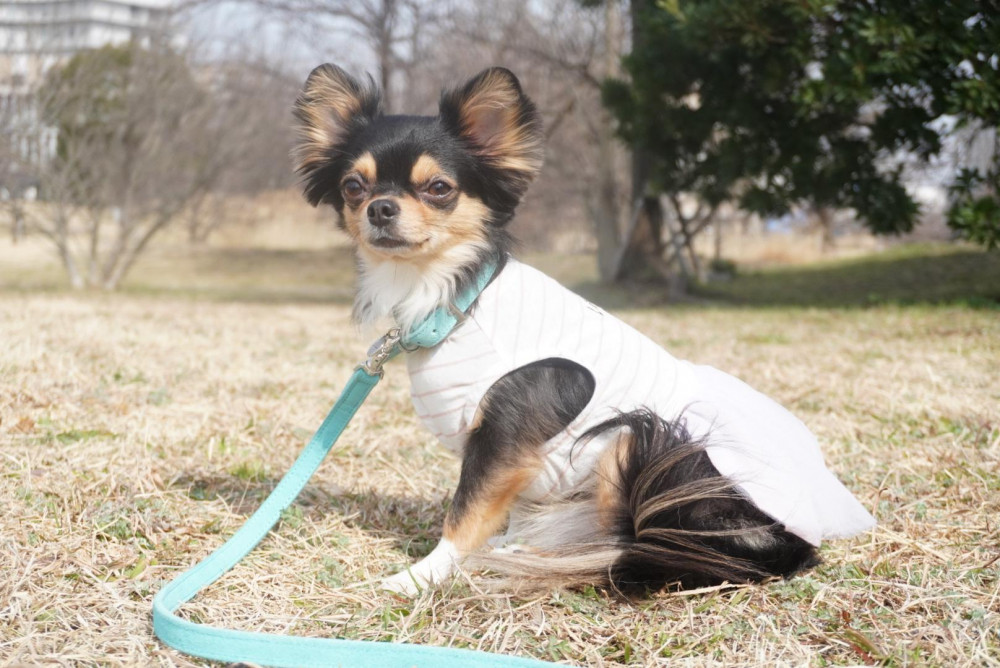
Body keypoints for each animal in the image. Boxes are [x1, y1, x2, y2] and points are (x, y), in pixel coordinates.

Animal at [292, 66, 876, 596]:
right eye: (353, 186)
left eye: (439, 189)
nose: (380, 208)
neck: (451, 296)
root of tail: (790, 543)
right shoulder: (512, 457)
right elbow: (499, 507)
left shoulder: (503, 437)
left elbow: (467, 513)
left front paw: (422, 576)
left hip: (638, 446)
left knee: (631, 541)